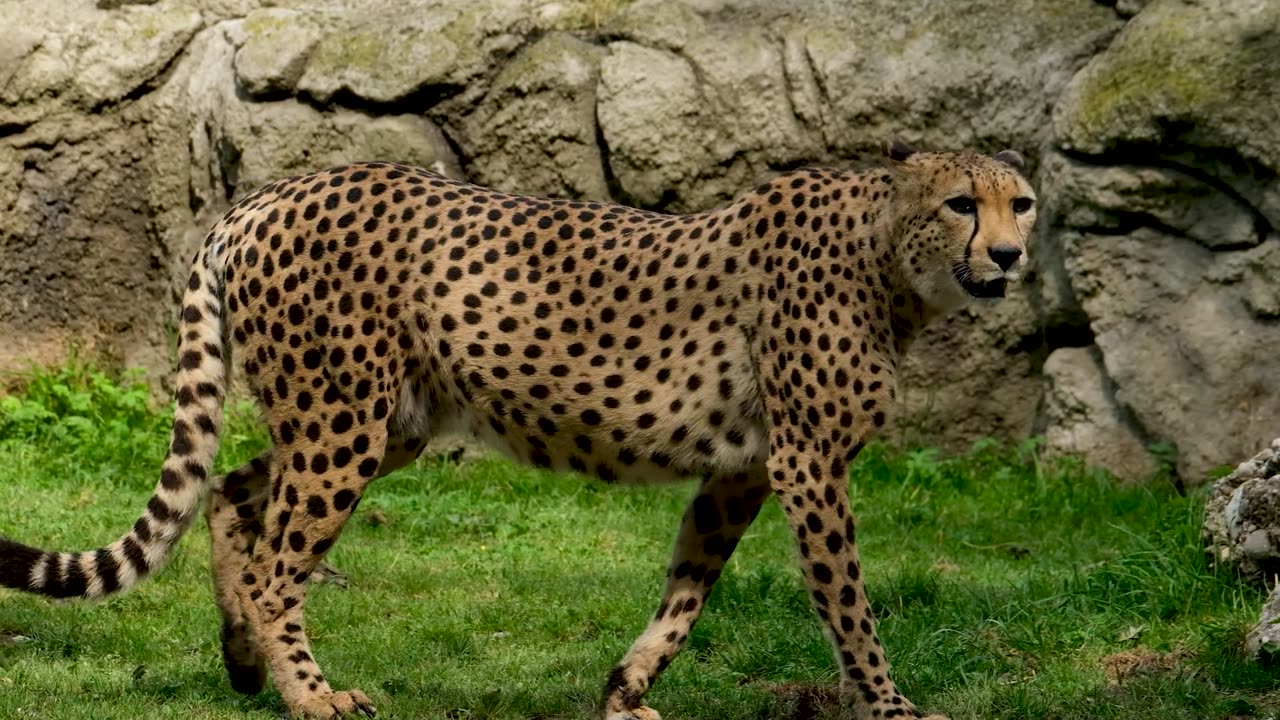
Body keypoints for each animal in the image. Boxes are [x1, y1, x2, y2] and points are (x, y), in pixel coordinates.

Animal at [0, 141, 1039, 717]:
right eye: (962, 203)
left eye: (1020, 203)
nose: (1011, 255)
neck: (888, 259)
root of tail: (262, 196)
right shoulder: (808, 464)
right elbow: (849, 606)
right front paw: (893, 707)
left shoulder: (740, 472)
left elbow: (688, 588)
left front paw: (625, 690)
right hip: (343, 420)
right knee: (273, 562)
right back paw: (312, 695)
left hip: (376, 424)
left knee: (228, 494)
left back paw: (244, 661)